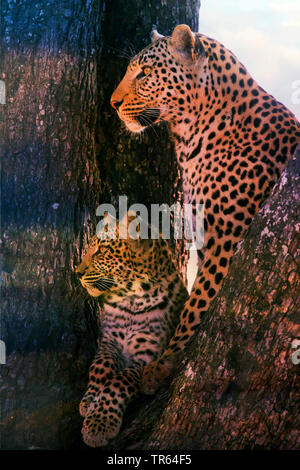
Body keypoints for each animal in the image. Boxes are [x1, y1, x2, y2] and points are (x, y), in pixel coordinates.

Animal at [110, 24, 300, 392]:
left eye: (145, 73)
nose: (113, 103)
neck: (190, 138)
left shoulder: (225, 242)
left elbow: (196, 304)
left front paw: (163, 362)